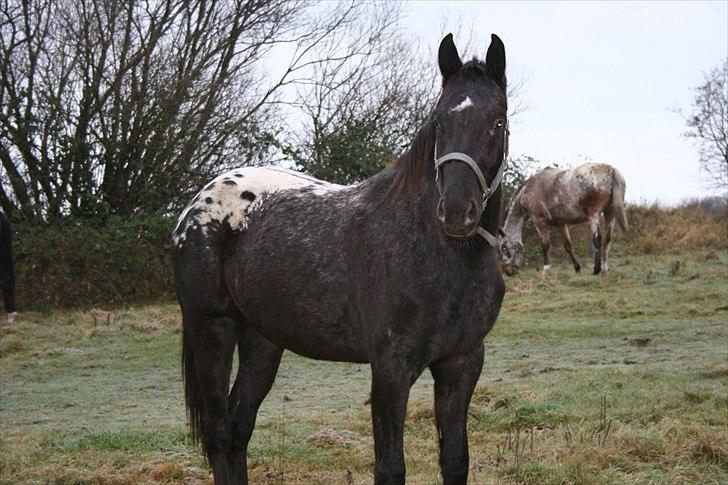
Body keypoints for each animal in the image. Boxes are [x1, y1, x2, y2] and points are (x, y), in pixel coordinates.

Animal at [173, 32, 510, 482]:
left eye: (498, 121)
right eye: (439, 121)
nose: (457, 212)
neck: (439, 252)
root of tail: (197, 204)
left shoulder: (462, 363)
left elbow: (455, 461)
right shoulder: (390, 369)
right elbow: (390, 468)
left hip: (262, 341)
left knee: (239, 426)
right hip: (212, 329)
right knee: (219, 433)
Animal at [498, 164, 628, 274]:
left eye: (503, 248)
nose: (506, 271)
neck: (529, 191)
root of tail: (611, 170)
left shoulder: (539, 222)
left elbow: (545, 245)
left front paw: (546, 271)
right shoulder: (560, 224)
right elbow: (568, 246)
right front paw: (577, 269)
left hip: (593, 215)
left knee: (597, 239)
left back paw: (596, 270)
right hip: (610, 213)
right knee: (607, 240)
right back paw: (605, 269)